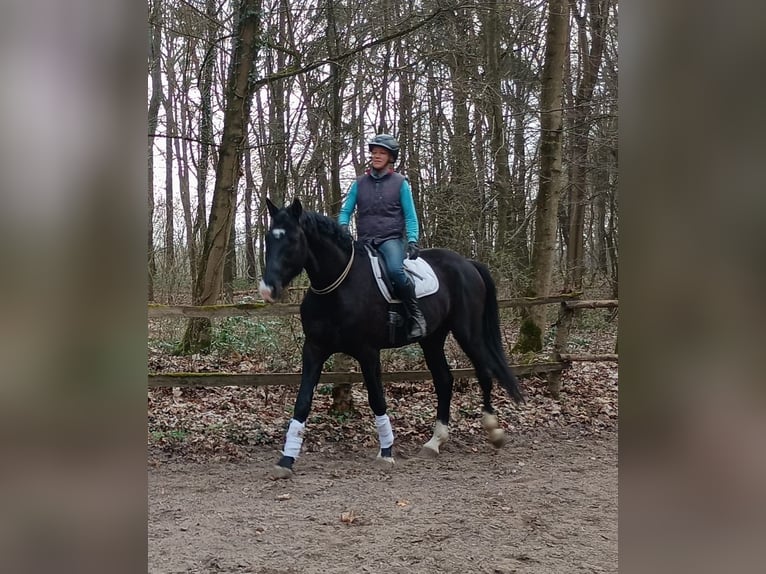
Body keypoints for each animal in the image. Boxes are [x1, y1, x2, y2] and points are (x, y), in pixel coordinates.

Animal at [259, 198, 523, 479]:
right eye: (269, 238)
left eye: (293, 240)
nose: (267, 289)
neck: (338, 287)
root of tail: (467, 263)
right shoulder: (314, 349)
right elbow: (302, 402)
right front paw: (286, 459)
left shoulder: (367, 352)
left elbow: (377, 400)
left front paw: (386, 453)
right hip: (432, 339)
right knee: (444, 379)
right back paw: (435, 442)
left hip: (467, 332)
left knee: (483, 370)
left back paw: (493, 430)